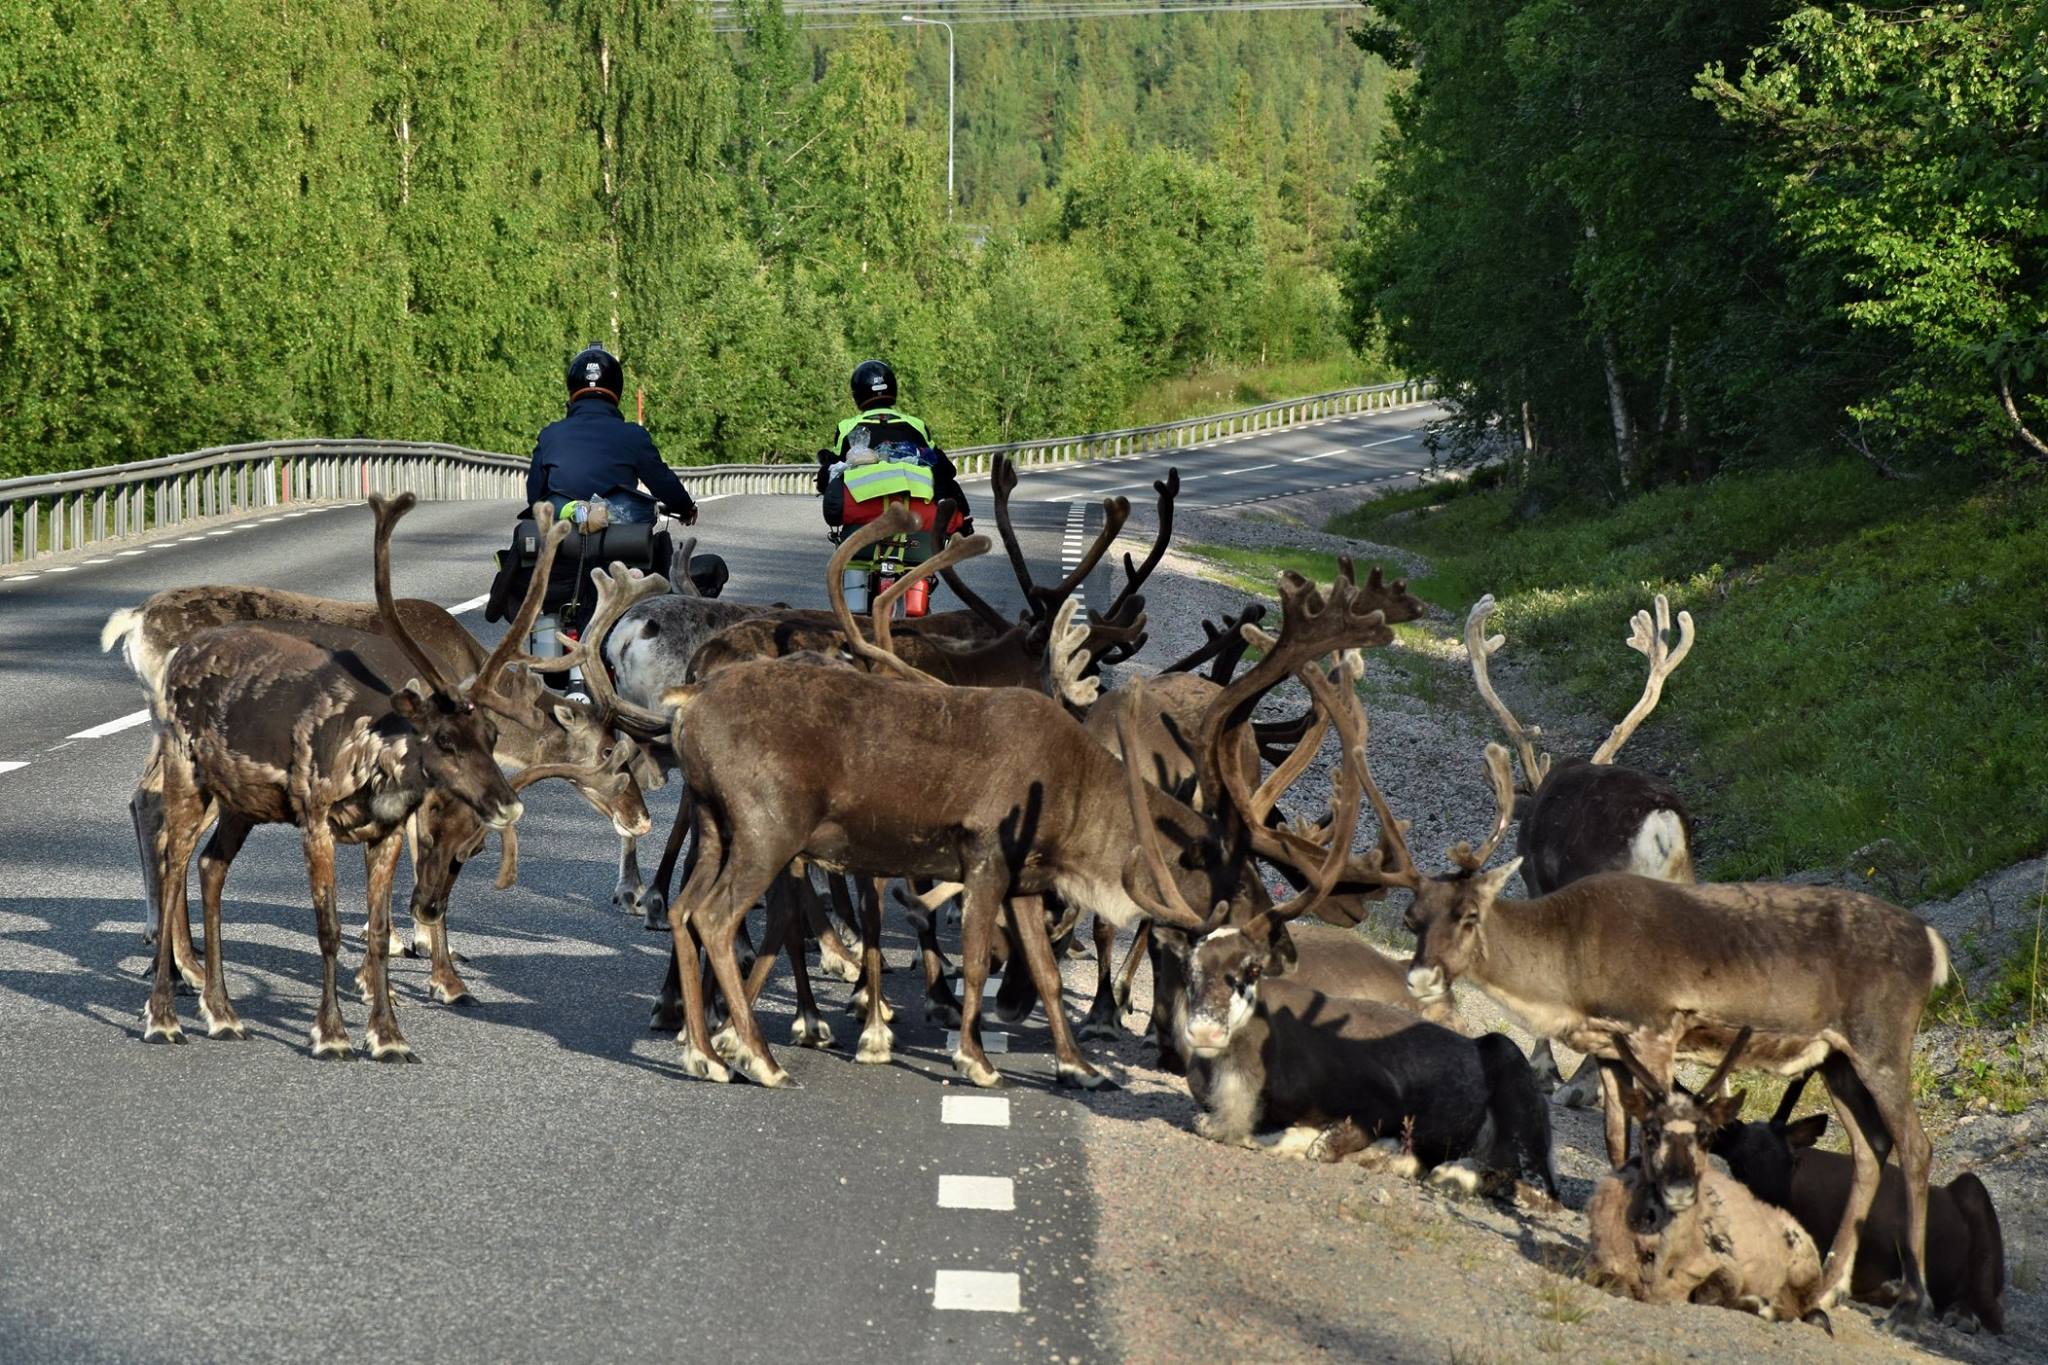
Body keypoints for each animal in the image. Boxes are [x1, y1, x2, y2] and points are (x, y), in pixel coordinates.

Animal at [139, 493, 523, 1060]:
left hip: (241, 805)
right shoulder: (315, 820)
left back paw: (223, 1012)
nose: (507, 803)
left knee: (211, 866)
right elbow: (329, 928)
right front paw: (332, 1033)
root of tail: (173, 654)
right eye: (444, 739)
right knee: (172, 860)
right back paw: (164, 1015)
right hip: (187, 774)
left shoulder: (384, 832)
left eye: (491, 734)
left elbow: (378, 929)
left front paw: (388, 1036)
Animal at [1586, 1030, 1832, 1328]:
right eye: (1650, 1131)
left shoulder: (1726, 1264)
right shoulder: (1598, 1261)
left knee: (1812, 1310)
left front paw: (1758, 1304)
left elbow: (1709, 1293)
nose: (1679, 1190)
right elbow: (1612, 1283)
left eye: (1705, 1135)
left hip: (1804, 1266)